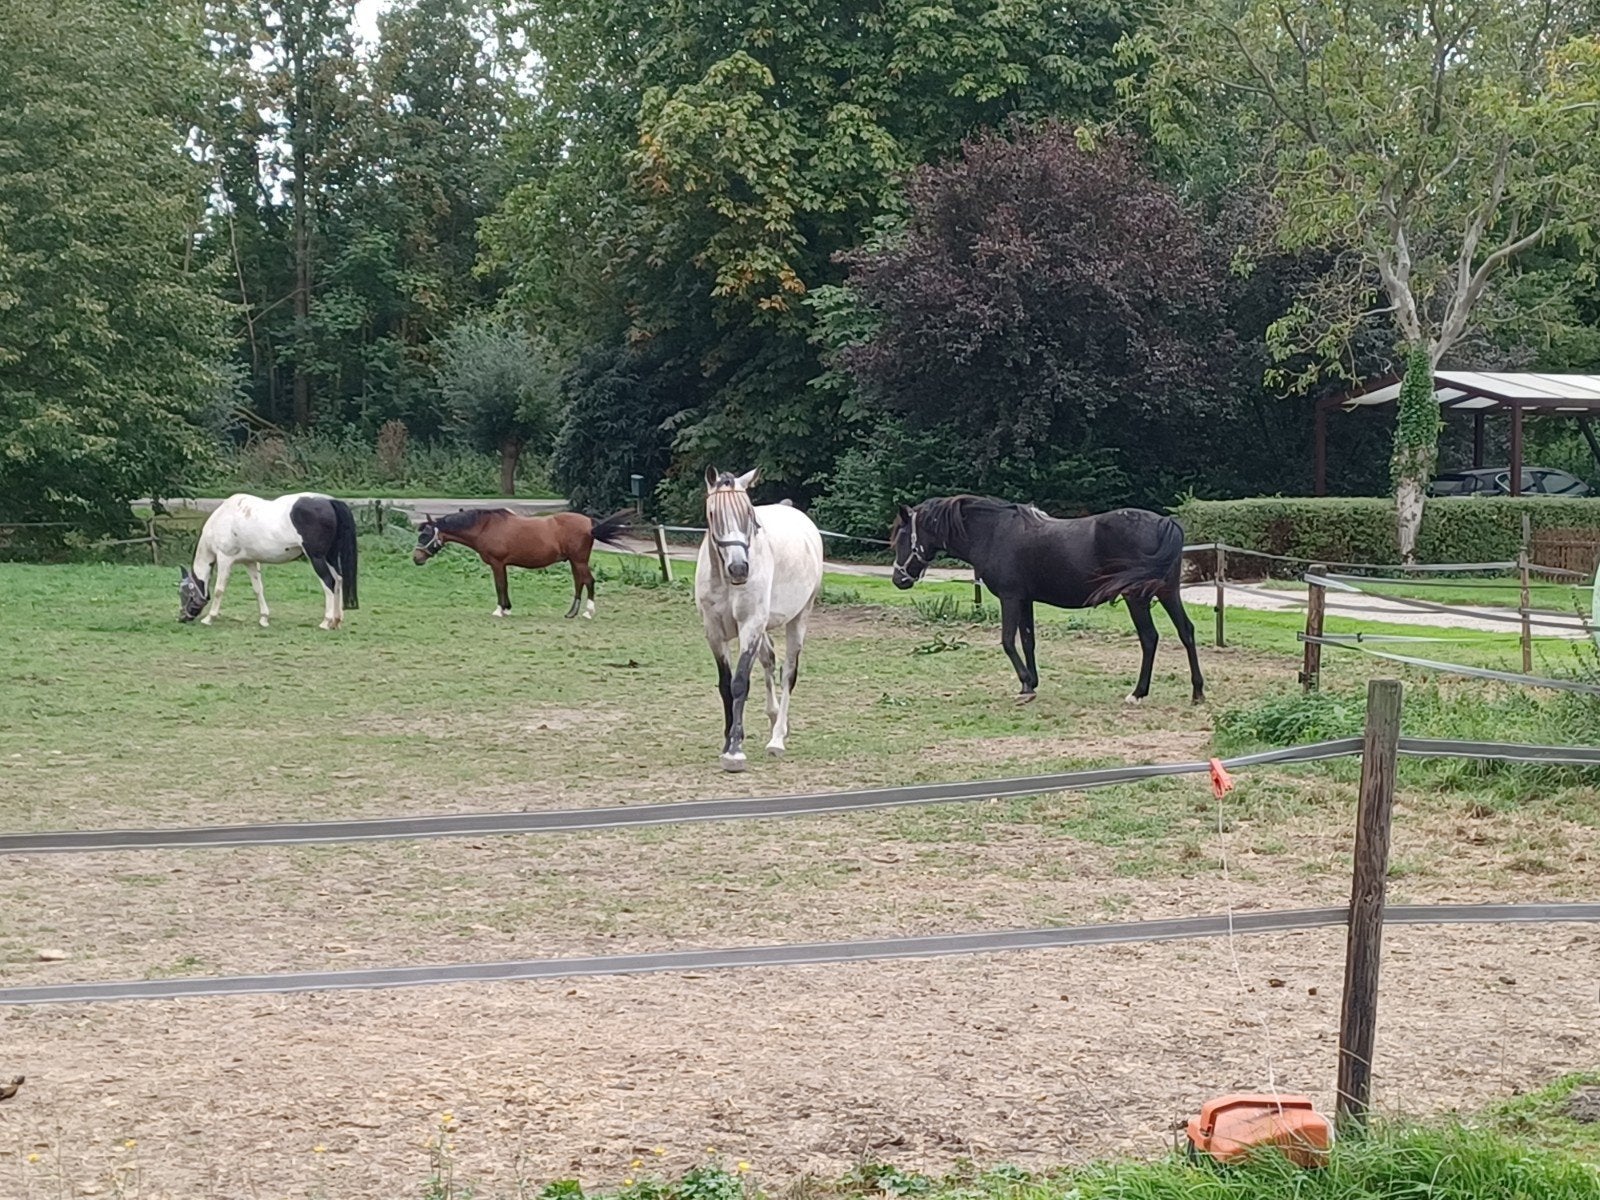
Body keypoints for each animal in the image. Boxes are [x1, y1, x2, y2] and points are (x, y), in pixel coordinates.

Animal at [178, 492, 359, 630]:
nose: (182, 618)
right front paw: (264, 619)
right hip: (330, 557)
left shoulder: (224, 559)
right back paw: (336, 621)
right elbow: (258, 589)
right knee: (338, 580)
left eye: (184, 593)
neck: (223, 518)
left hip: (317, 558)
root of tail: (329, 501)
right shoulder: (250, 562)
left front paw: (209, 618)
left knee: (329, 582)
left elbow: (218, 590)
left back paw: (326, 622)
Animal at [412, 508, 632, 618]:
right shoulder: (502, 564)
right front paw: (507, 608)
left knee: (589, 581)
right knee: (579, 583)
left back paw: (588, 612)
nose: (416, 558)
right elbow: (505, 585)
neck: (485, 527)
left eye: (425, 535)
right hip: (574, 561)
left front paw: (499, 610)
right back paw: (571, 613)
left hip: (579, 560)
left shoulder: (497, 563)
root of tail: (589, 523)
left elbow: (500, 585)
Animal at [695, 466, 824, 772]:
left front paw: (735, 751)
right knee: (769, 659)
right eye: (713, 514)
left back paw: (777, 739)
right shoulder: (713, 632)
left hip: (799, 617)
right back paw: (775, 717)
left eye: (749, 514)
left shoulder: (750, 625)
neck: (725, 580)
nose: (739, 568)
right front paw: (727, 742)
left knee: (788, 672)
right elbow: (725, 685)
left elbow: (740, 683)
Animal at [889, 496, 1203, 705]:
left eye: (902, 536)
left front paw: (1026, 684)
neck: (994, 533)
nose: (898, 579)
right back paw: (1197, 692)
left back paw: (1138, 693)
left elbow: (1007, 641)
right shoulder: (1025, 600)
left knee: (1149, 638)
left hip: (1137, 598)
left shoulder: (1010, 598)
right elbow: (1028, 640)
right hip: (1167, 592)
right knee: (1186, 632)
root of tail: (1164, 522)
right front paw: (1031, 682)